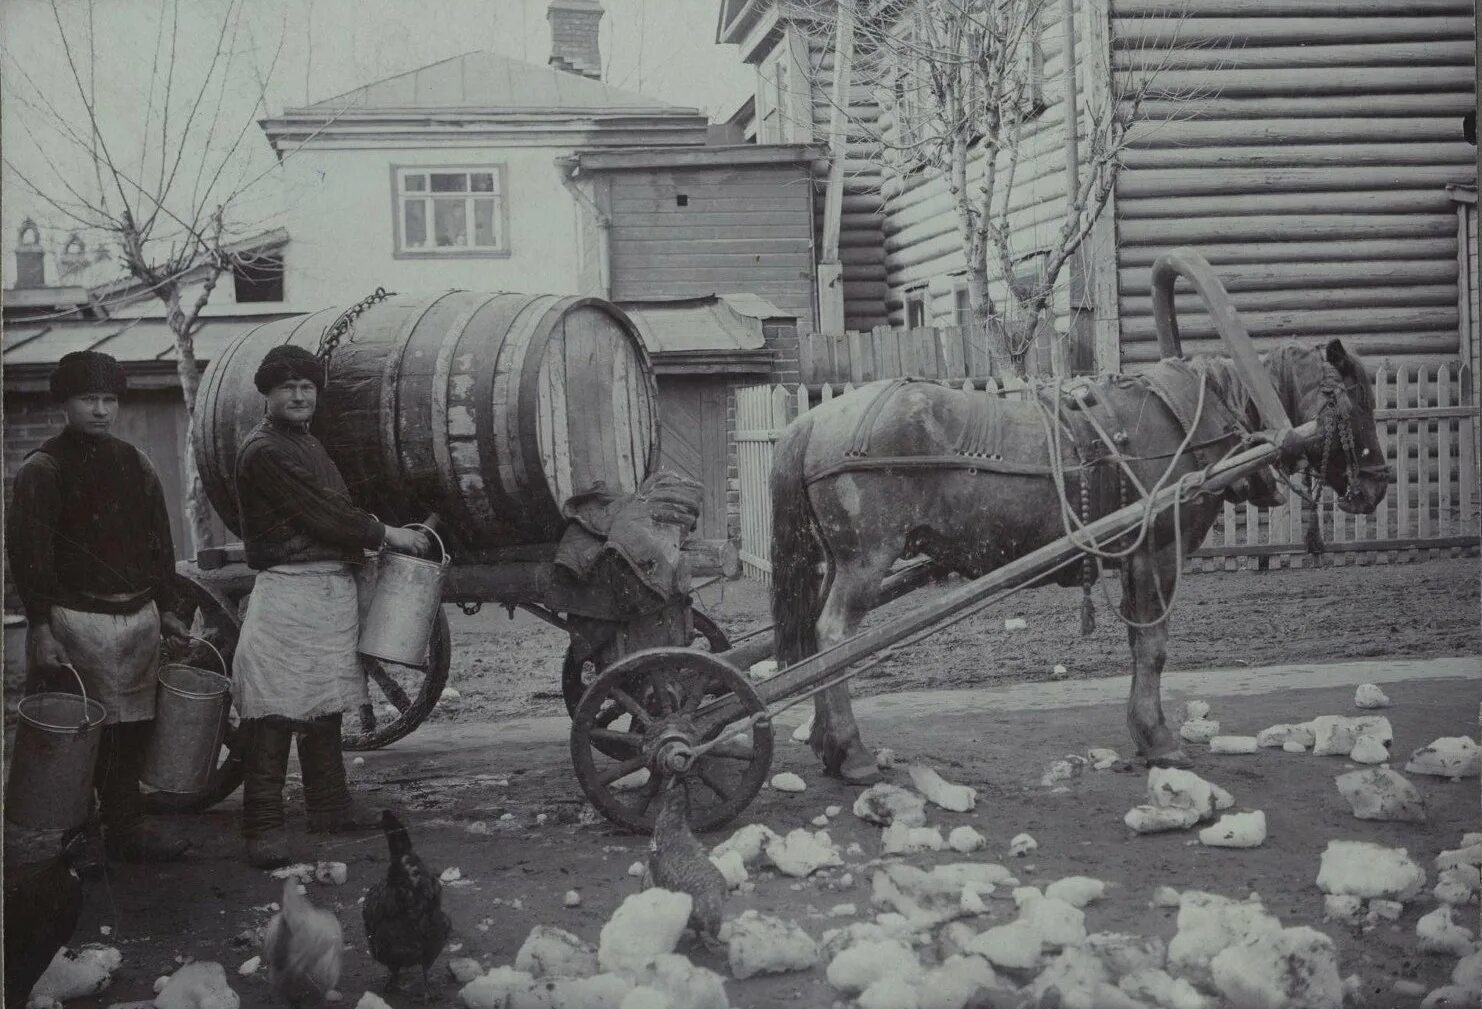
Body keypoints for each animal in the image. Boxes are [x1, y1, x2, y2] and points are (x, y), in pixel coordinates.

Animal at [770, 334, 1393, 782]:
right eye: (1357, 399)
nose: (1376, 485)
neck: (1190, 422)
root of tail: (813, 419)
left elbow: (1141, 646)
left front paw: (1146, 732)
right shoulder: (1157, 553)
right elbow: (1153, 647)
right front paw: (1158, 739)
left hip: (840, 563)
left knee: (815, 642)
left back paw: (827, 744)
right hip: (865, 561)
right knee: (833, 638)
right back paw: (851, 752)